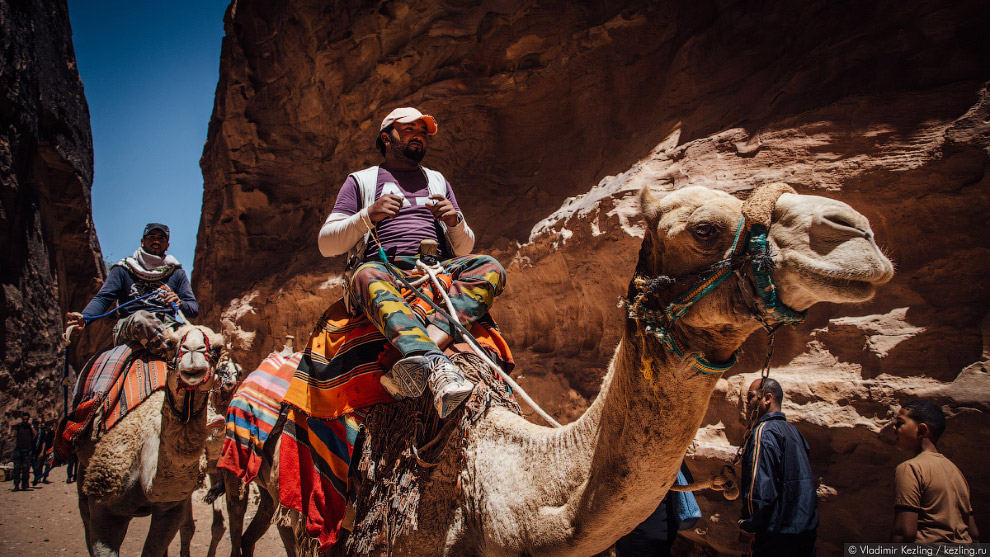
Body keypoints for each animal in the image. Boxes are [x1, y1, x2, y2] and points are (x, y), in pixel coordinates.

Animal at [75, 324, 229, 552]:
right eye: (170, 344)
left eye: (218, 348)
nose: (193, 352)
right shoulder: (104, 506)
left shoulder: (171, 508)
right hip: (83, 468)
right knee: (84, 514)